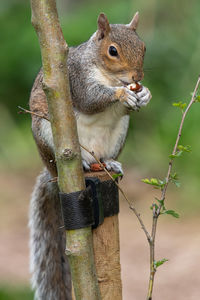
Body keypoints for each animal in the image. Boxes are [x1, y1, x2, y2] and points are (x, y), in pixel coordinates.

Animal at [28, 11, 152, 300]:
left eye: (143, 47)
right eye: (112, 50)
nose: (138, 75)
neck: (109, 76)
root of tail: (52, 175)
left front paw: (144, 94)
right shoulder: (76, 77)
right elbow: (90, 99)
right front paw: (122, 94)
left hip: (117, 137)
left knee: (105, 157)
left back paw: (109, 163)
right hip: (48, 135)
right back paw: (84, 162)